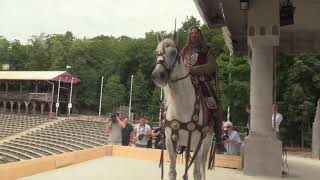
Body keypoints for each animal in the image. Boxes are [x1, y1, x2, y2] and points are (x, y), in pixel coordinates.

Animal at [151, 33, 214, 180]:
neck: (182, 106)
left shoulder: (198, 142)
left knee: (202, 164)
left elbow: (196, 173)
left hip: (207, 141)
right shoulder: (170, 142)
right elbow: (172, 172)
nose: (157, 75)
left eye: (173, 52)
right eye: (157, 53)